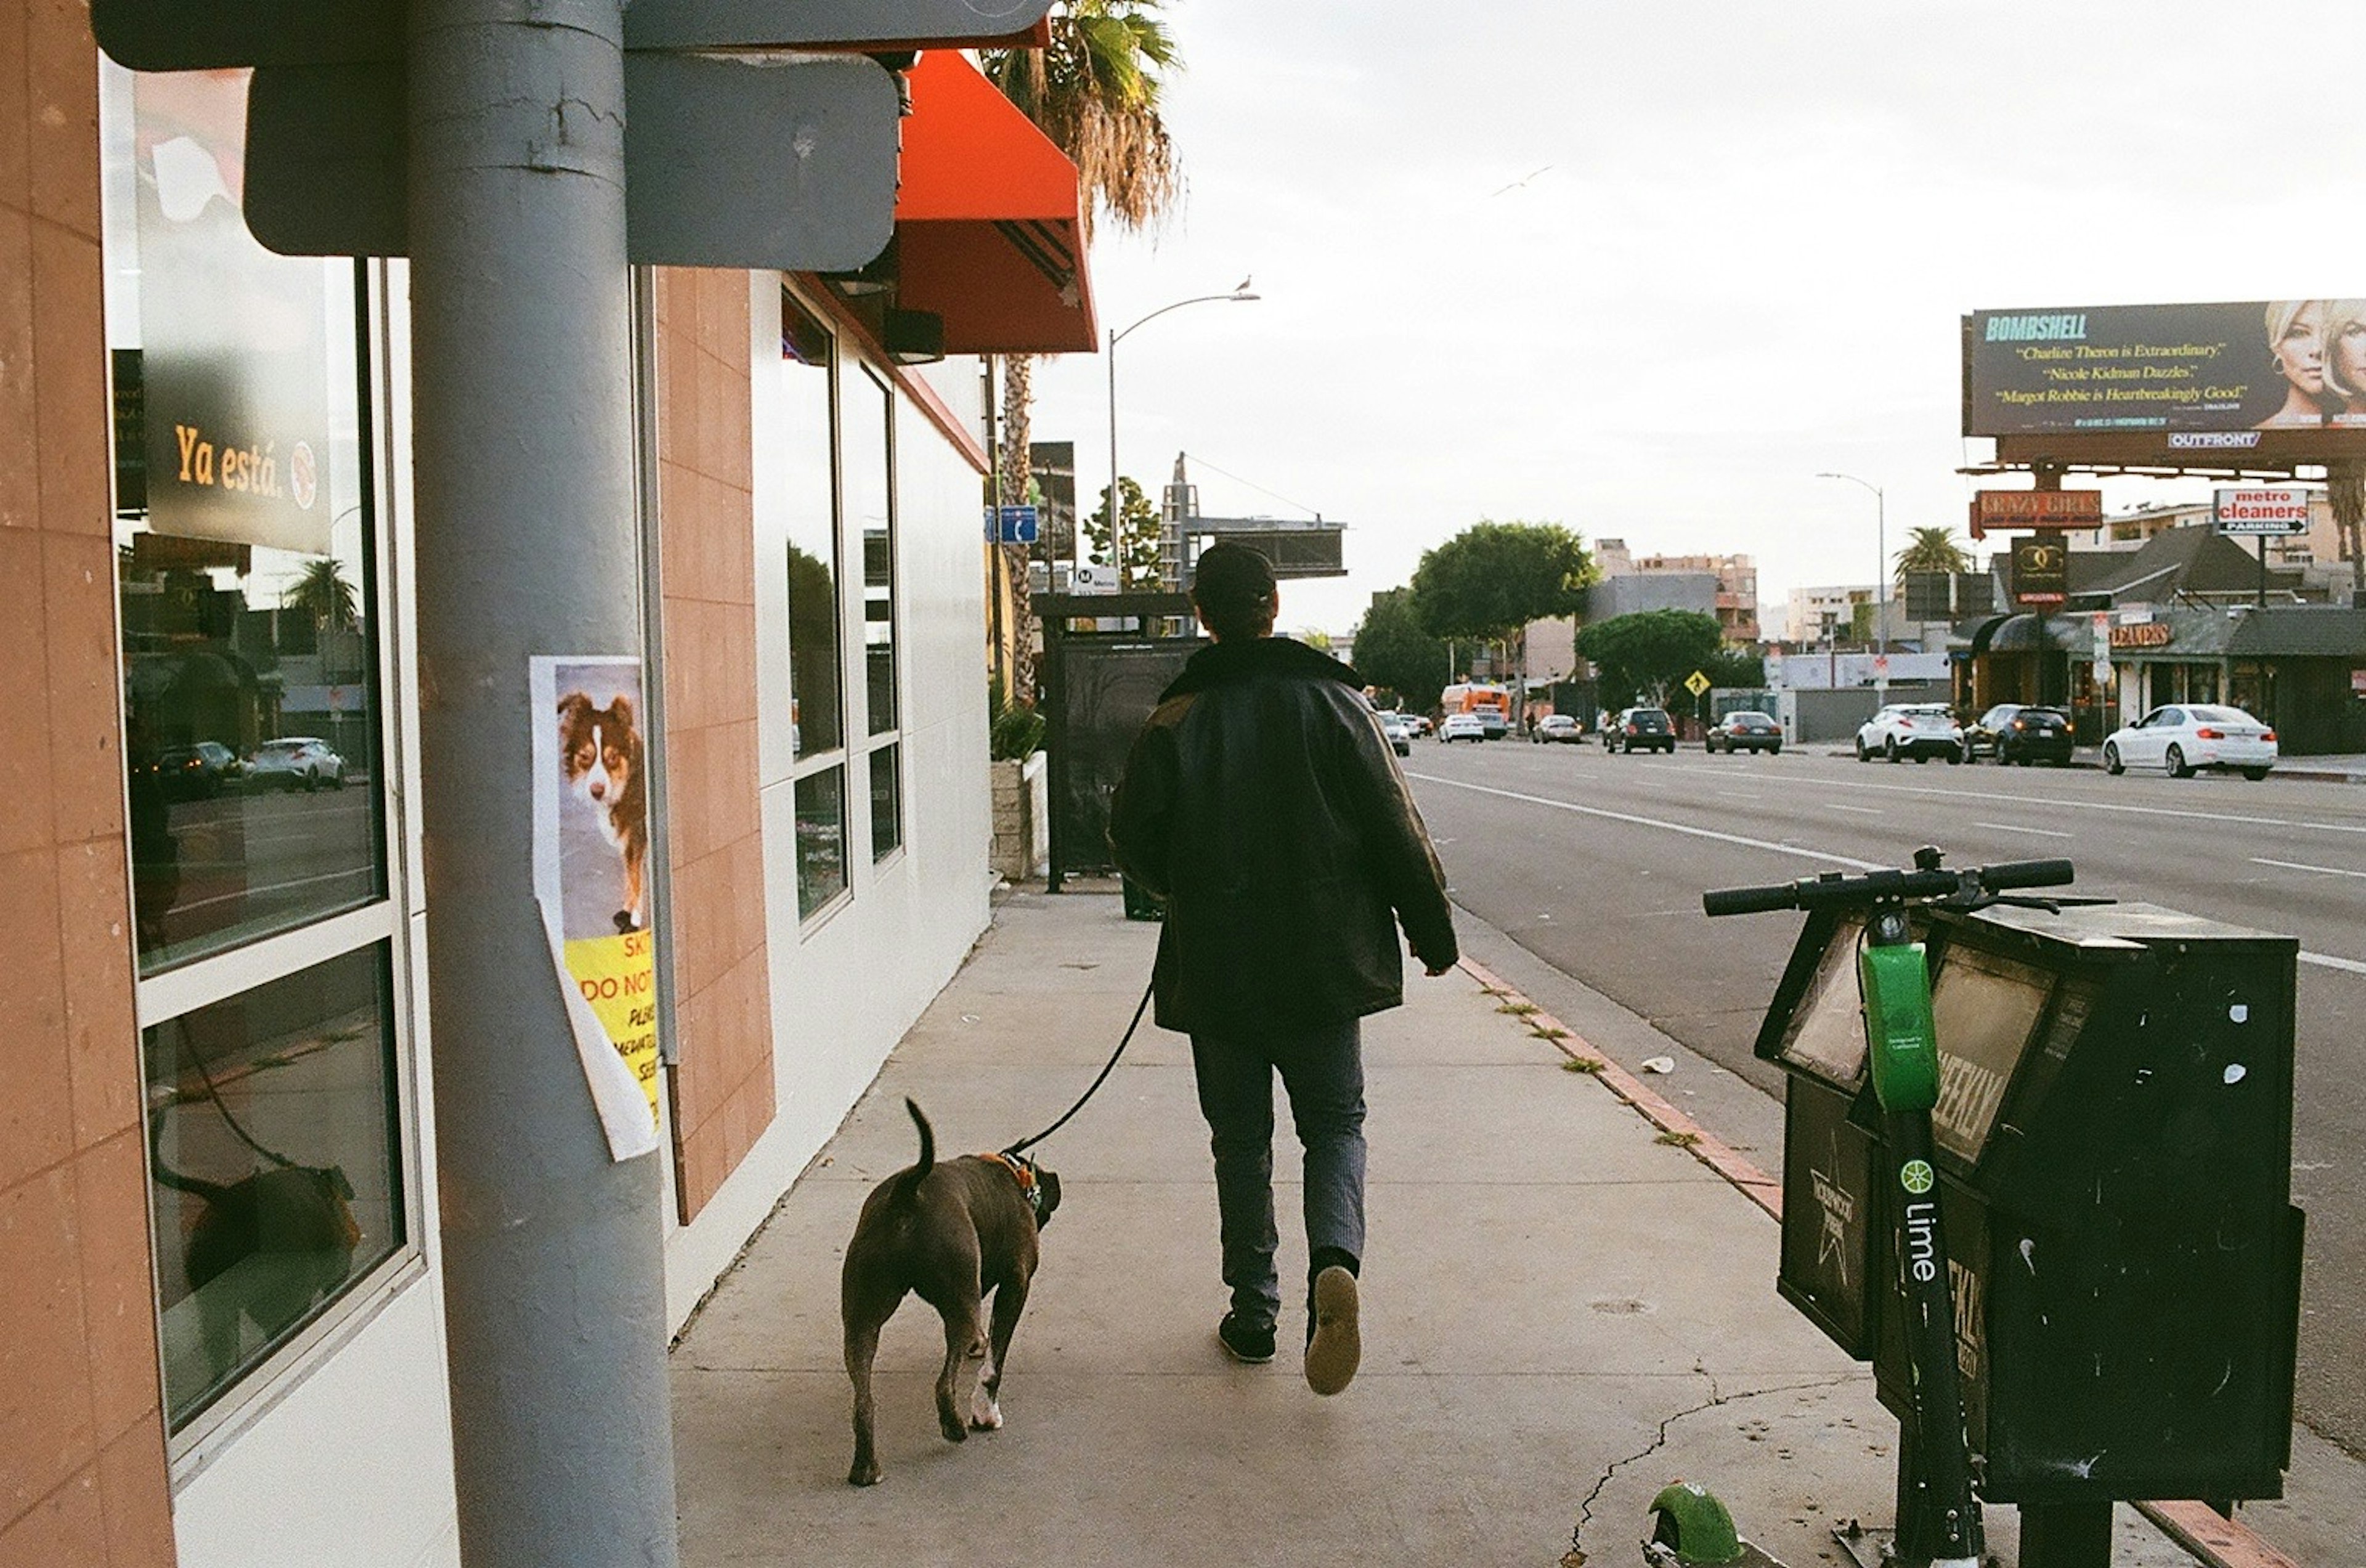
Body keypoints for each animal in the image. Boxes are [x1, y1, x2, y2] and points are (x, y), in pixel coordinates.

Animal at [832, 1097, 1055, 1495]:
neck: (1014, 1175)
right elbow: (995, 1360)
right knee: (946, 1376)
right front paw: (986, 1412)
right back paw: (955, 1426)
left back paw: (866, 1468)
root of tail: (908, 1194)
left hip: (861, 1317)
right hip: (959, 1303)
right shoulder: (1017, 1282)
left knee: (863, 1399)